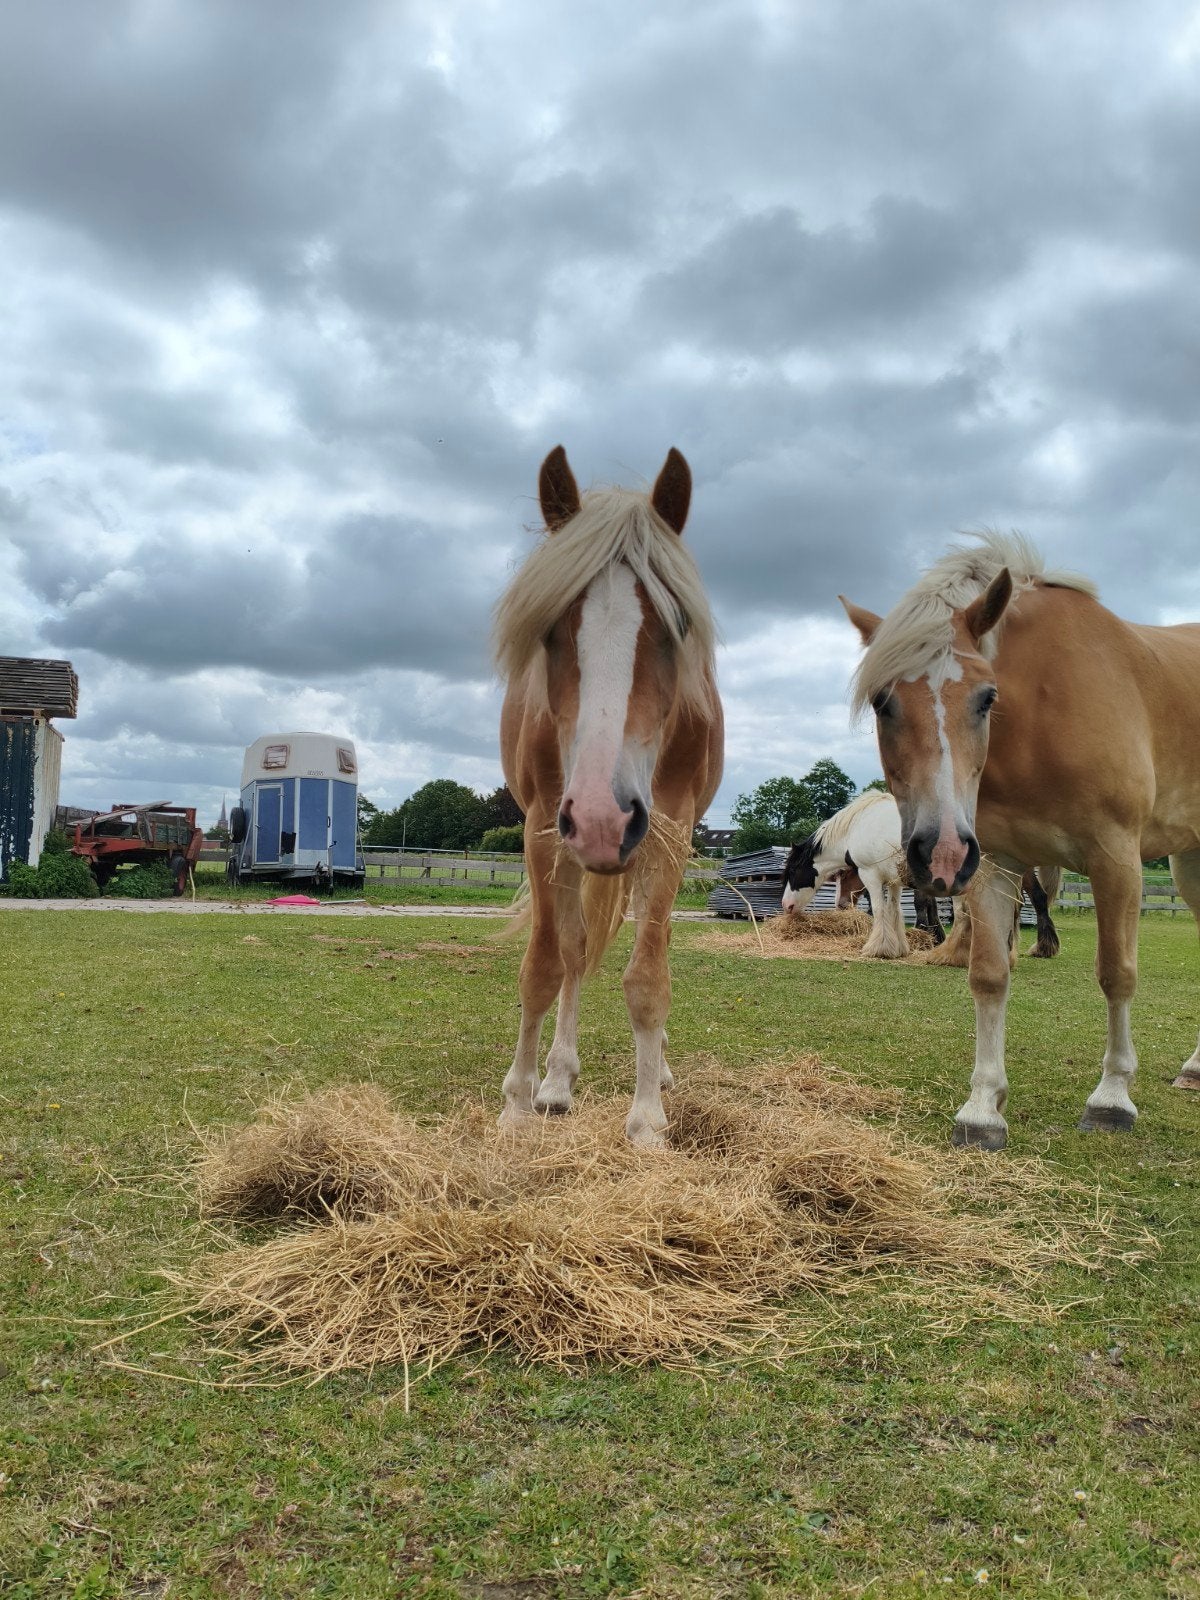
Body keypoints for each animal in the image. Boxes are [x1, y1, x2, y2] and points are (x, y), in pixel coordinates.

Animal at [493, 445, 723, 1147]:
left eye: (677, 625)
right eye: (548, 629)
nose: (601, 818)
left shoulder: (668, 831)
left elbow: (647, 978)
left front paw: (647, 1119)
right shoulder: (544, 829)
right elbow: (544, 966)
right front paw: (518, 1103)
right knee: (573, 952)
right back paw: (556, 1080)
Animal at [780, 789, 944, 957]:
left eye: (793, 870)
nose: (786, 905)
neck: (856, 827)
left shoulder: (871, 875)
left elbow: (879, 909)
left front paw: (878, 948)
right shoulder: (895, 881)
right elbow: (894, 909)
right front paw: (899, 948)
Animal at [841, 530, 1200, 1148]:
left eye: (987, 697)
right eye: (884, 702)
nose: (938, 853)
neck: (1043, 715)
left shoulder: (1115, 858)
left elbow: (1116, 972)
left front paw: (1111, 1099)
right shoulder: (993, 864)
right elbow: (988, 976)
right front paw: (982, 1108)